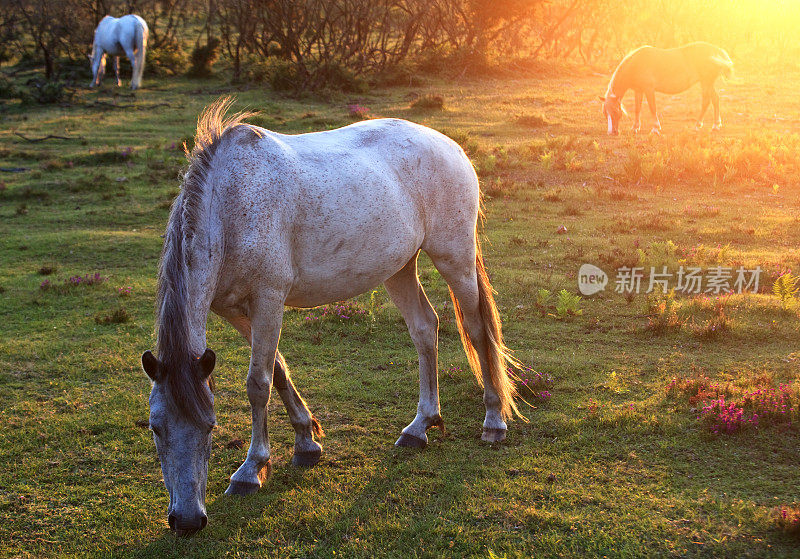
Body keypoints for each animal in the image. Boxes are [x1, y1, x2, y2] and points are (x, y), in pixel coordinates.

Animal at [138, 98, 524, 536]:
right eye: (155, 427)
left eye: (209, 425)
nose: (186, 521)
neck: (229, 207)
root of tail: (452, 147)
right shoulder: (234, 309)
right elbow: (278, 369)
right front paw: (306, 442)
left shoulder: (268, 299)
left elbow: (258, 383)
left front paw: (252, 470)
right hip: (399, 268)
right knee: (425, 328)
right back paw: (420, 426)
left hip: (453, 257)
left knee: (476, 330)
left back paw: (493, 421)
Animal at [604, 41, 736, 136]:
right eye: (605, 113)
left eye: (615, 111)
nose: (612, 132)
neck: (636, 63)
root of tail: (716, 51)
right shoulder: (639, 90)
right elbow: (637, 109)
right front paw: (635, 128)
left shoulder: (649, 90)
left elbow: (652, 108)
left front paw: (655, 129)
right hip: (707, 83)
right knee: (715, 99)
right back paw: (716, 126)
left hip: (706, 82)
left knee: (706, 102)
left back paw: (698, 126)